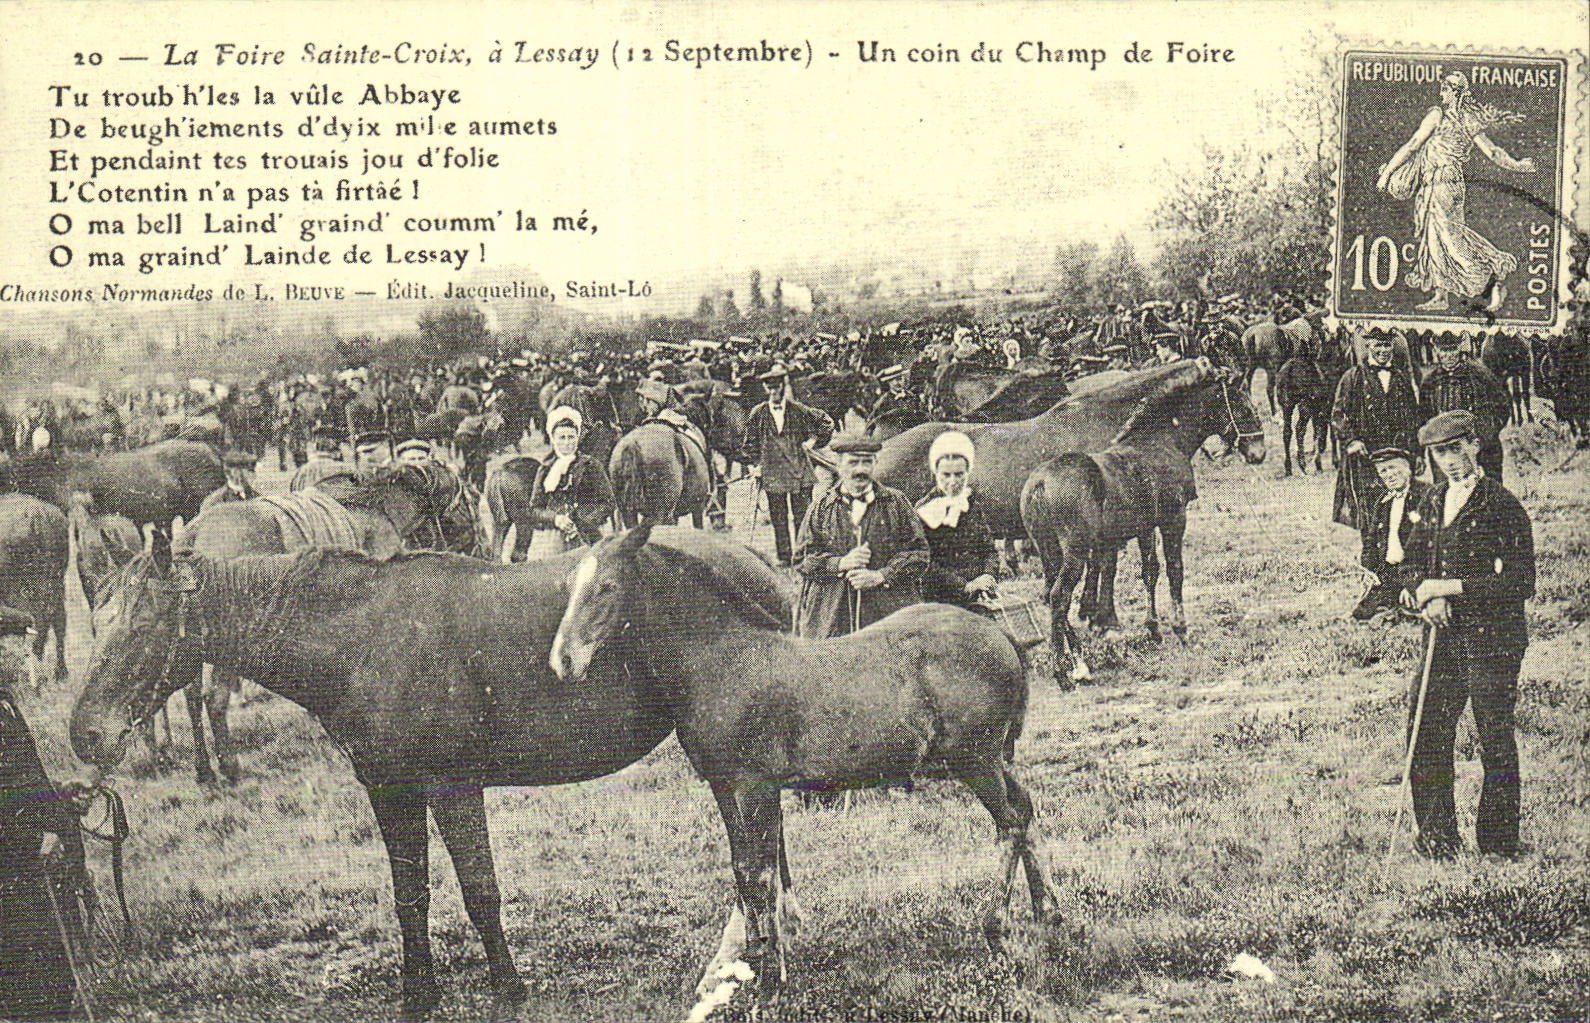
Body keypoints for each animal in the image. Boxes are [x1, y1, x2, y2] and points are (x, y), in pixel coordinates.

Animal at [70, 530, 786, 1020]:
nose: (86, 734)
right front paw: (421, 993)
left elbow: (479, 890)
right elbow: (409, 894)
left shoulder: (451, 787)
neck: (363, 639)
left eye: (144, 624)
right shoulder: (390, 791)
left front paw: (508, 987)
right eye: (99, 619)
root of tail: (753, 563)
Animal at [548, 524, 1060, 999]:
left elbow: (761, 872)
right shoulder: (724, 787)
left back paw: (997, 929)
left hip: (974, 760)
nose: (563, 661)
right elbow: (741, 869)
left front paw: (771, 975)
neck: (724, 661)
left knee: (1009, 823)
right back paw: (1048, 913)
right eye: (571, 585)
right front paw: (752, 961)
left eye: (607, 586)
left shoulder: (756, 787)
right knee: (1026, 809)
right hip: (995, 758)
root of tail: (999, 636)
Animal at [1021, 366, 1267, 683]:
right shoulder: (1174, 518)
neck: (1162, 442)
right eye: (1245, 409)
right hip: (1075, 552)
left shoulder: (1146, 526)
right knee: (1059, 597)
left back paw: (1079, 661)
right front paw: (1180, 629)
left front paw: (1153, 628)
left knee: (1052, 596)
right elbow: (1175, 570)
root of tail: (1039, 483)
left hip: (1048, 551)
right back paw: (1062, 669)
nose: (1258, 453)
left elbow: (1150, 571)